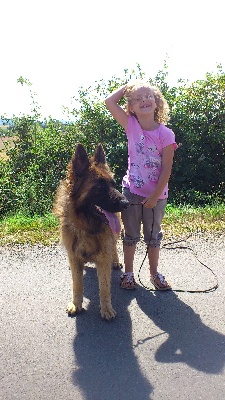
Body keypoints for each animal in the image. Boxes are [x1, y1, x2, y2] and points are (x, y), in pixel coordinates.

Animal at [53, 142, 129, 320]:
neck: (86, 227)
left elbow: (104, 287)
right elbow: (77, 284)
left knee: (114, 246)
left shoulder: (103, 258)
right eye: (99, 187)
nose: (126, 203)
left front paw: (106, 309)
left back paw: (115, 261)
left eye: (113, 184)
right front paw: (76, 304)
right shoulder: (74, 258)